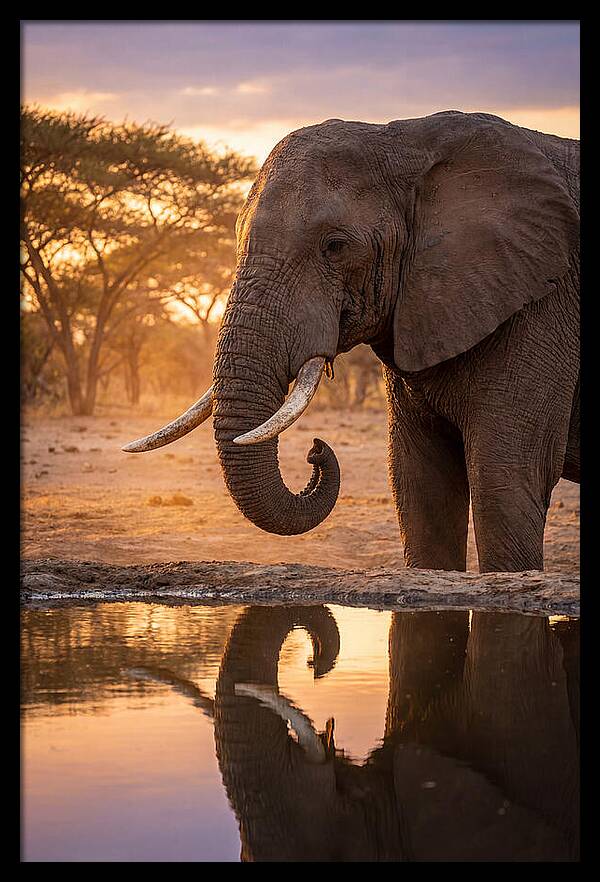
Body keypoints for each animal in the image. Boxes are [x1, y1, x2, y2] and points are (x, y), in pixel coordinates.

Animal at [124, 110, 580, 573]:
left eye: (335, 246)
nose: (316, 449)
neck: (408, 140)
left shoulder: (541, 304)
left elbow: (505, 478)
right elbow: (419, 483)